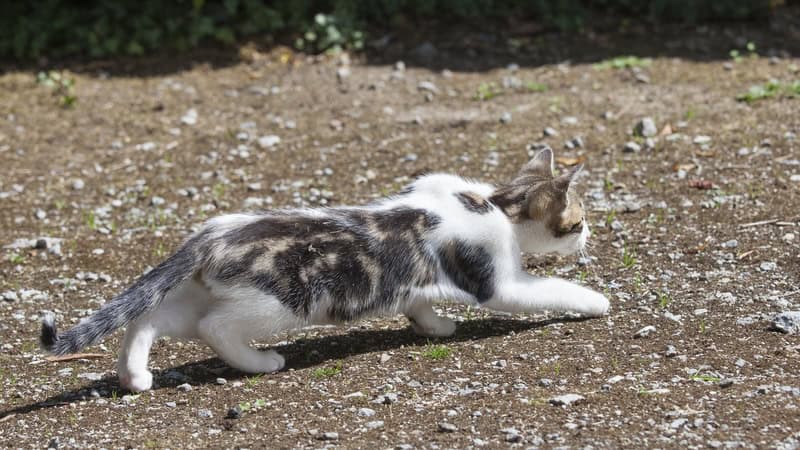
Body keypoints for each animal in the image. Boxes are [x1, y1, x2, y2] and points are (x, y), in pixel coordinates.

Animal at [40, 147, 608, 390]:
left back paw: (135, 375)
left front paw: (434, 326)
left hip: (205, 292)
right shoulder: (497, 280)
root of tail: (211, 234)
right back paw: (261, 363)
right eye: (578, 222)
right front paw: (594, 301)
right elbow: (549, 288)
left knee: (149, 318)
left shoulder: (418, 276)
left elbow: (418, 298)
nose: (591, 235)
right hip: (276, 302)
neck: (491, 204)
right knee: (213, 327)